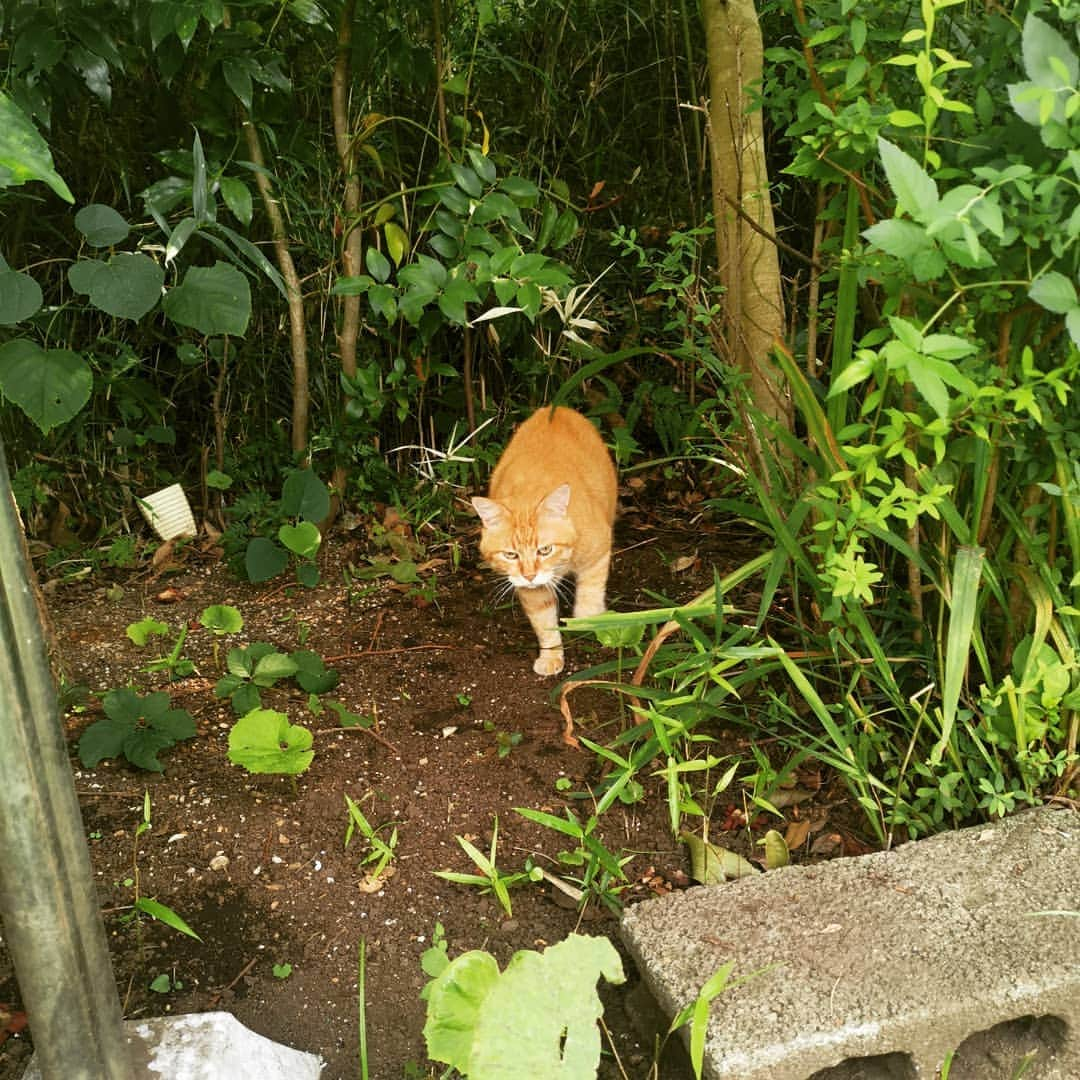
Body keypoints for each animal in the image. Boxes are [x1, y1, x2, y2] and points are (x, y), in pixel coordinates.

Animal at [470, 406, 617, 673]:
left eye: (545, 550)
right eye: (511, 555)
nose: (530, 575)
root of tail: (555, 408)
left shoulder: (599, 553)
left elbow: (590, 593)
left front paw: (588, 621)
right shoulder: (532, 590)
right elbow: (544, 623)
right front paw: (552, 656)